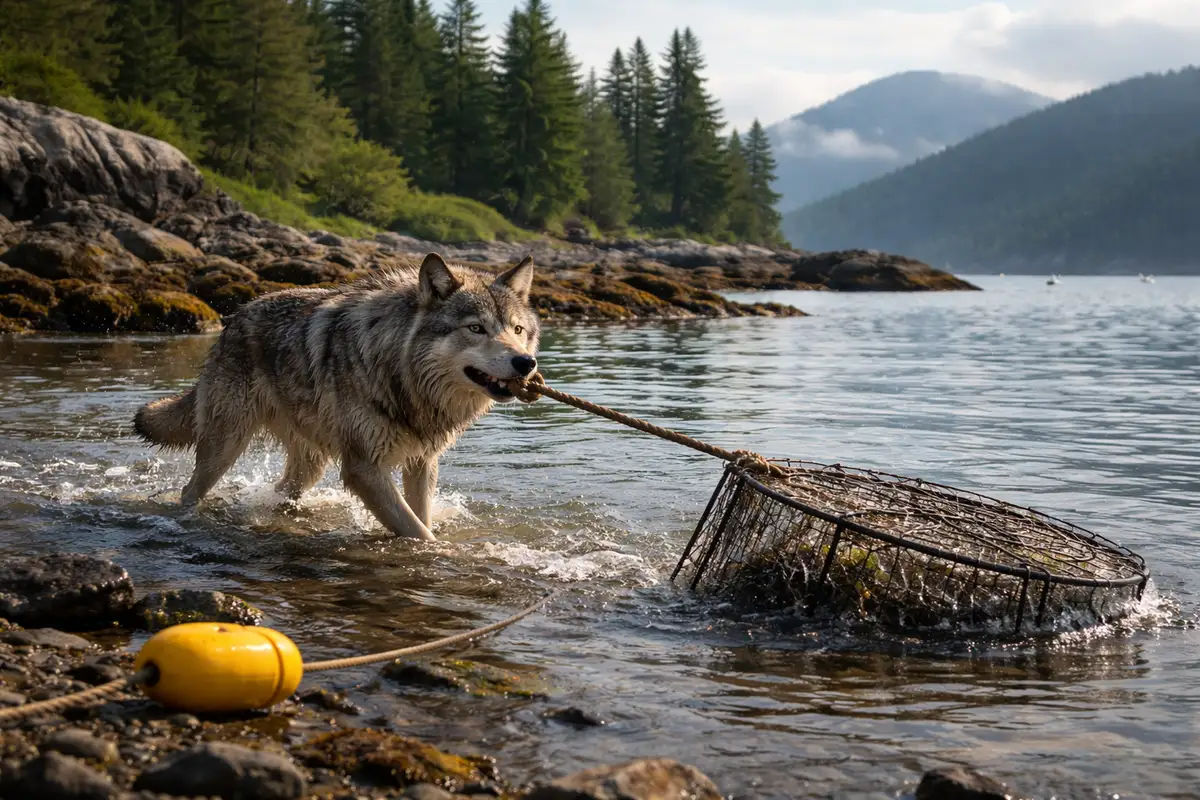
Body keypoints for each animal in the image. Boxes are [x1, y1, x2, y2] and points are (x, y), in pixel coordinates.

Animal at [132, 252, 541, 541]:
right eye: (476, 328)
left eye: (517, 330)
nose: (526, 363)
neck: (402, 374)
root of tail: (233, 319)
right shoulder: (364, 468)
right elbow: (419, 533)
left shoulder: (422, 462)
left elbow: (421, 518)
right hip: (224, 447)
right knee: (189, 490)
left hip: (308, 466)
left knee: (284, 490)